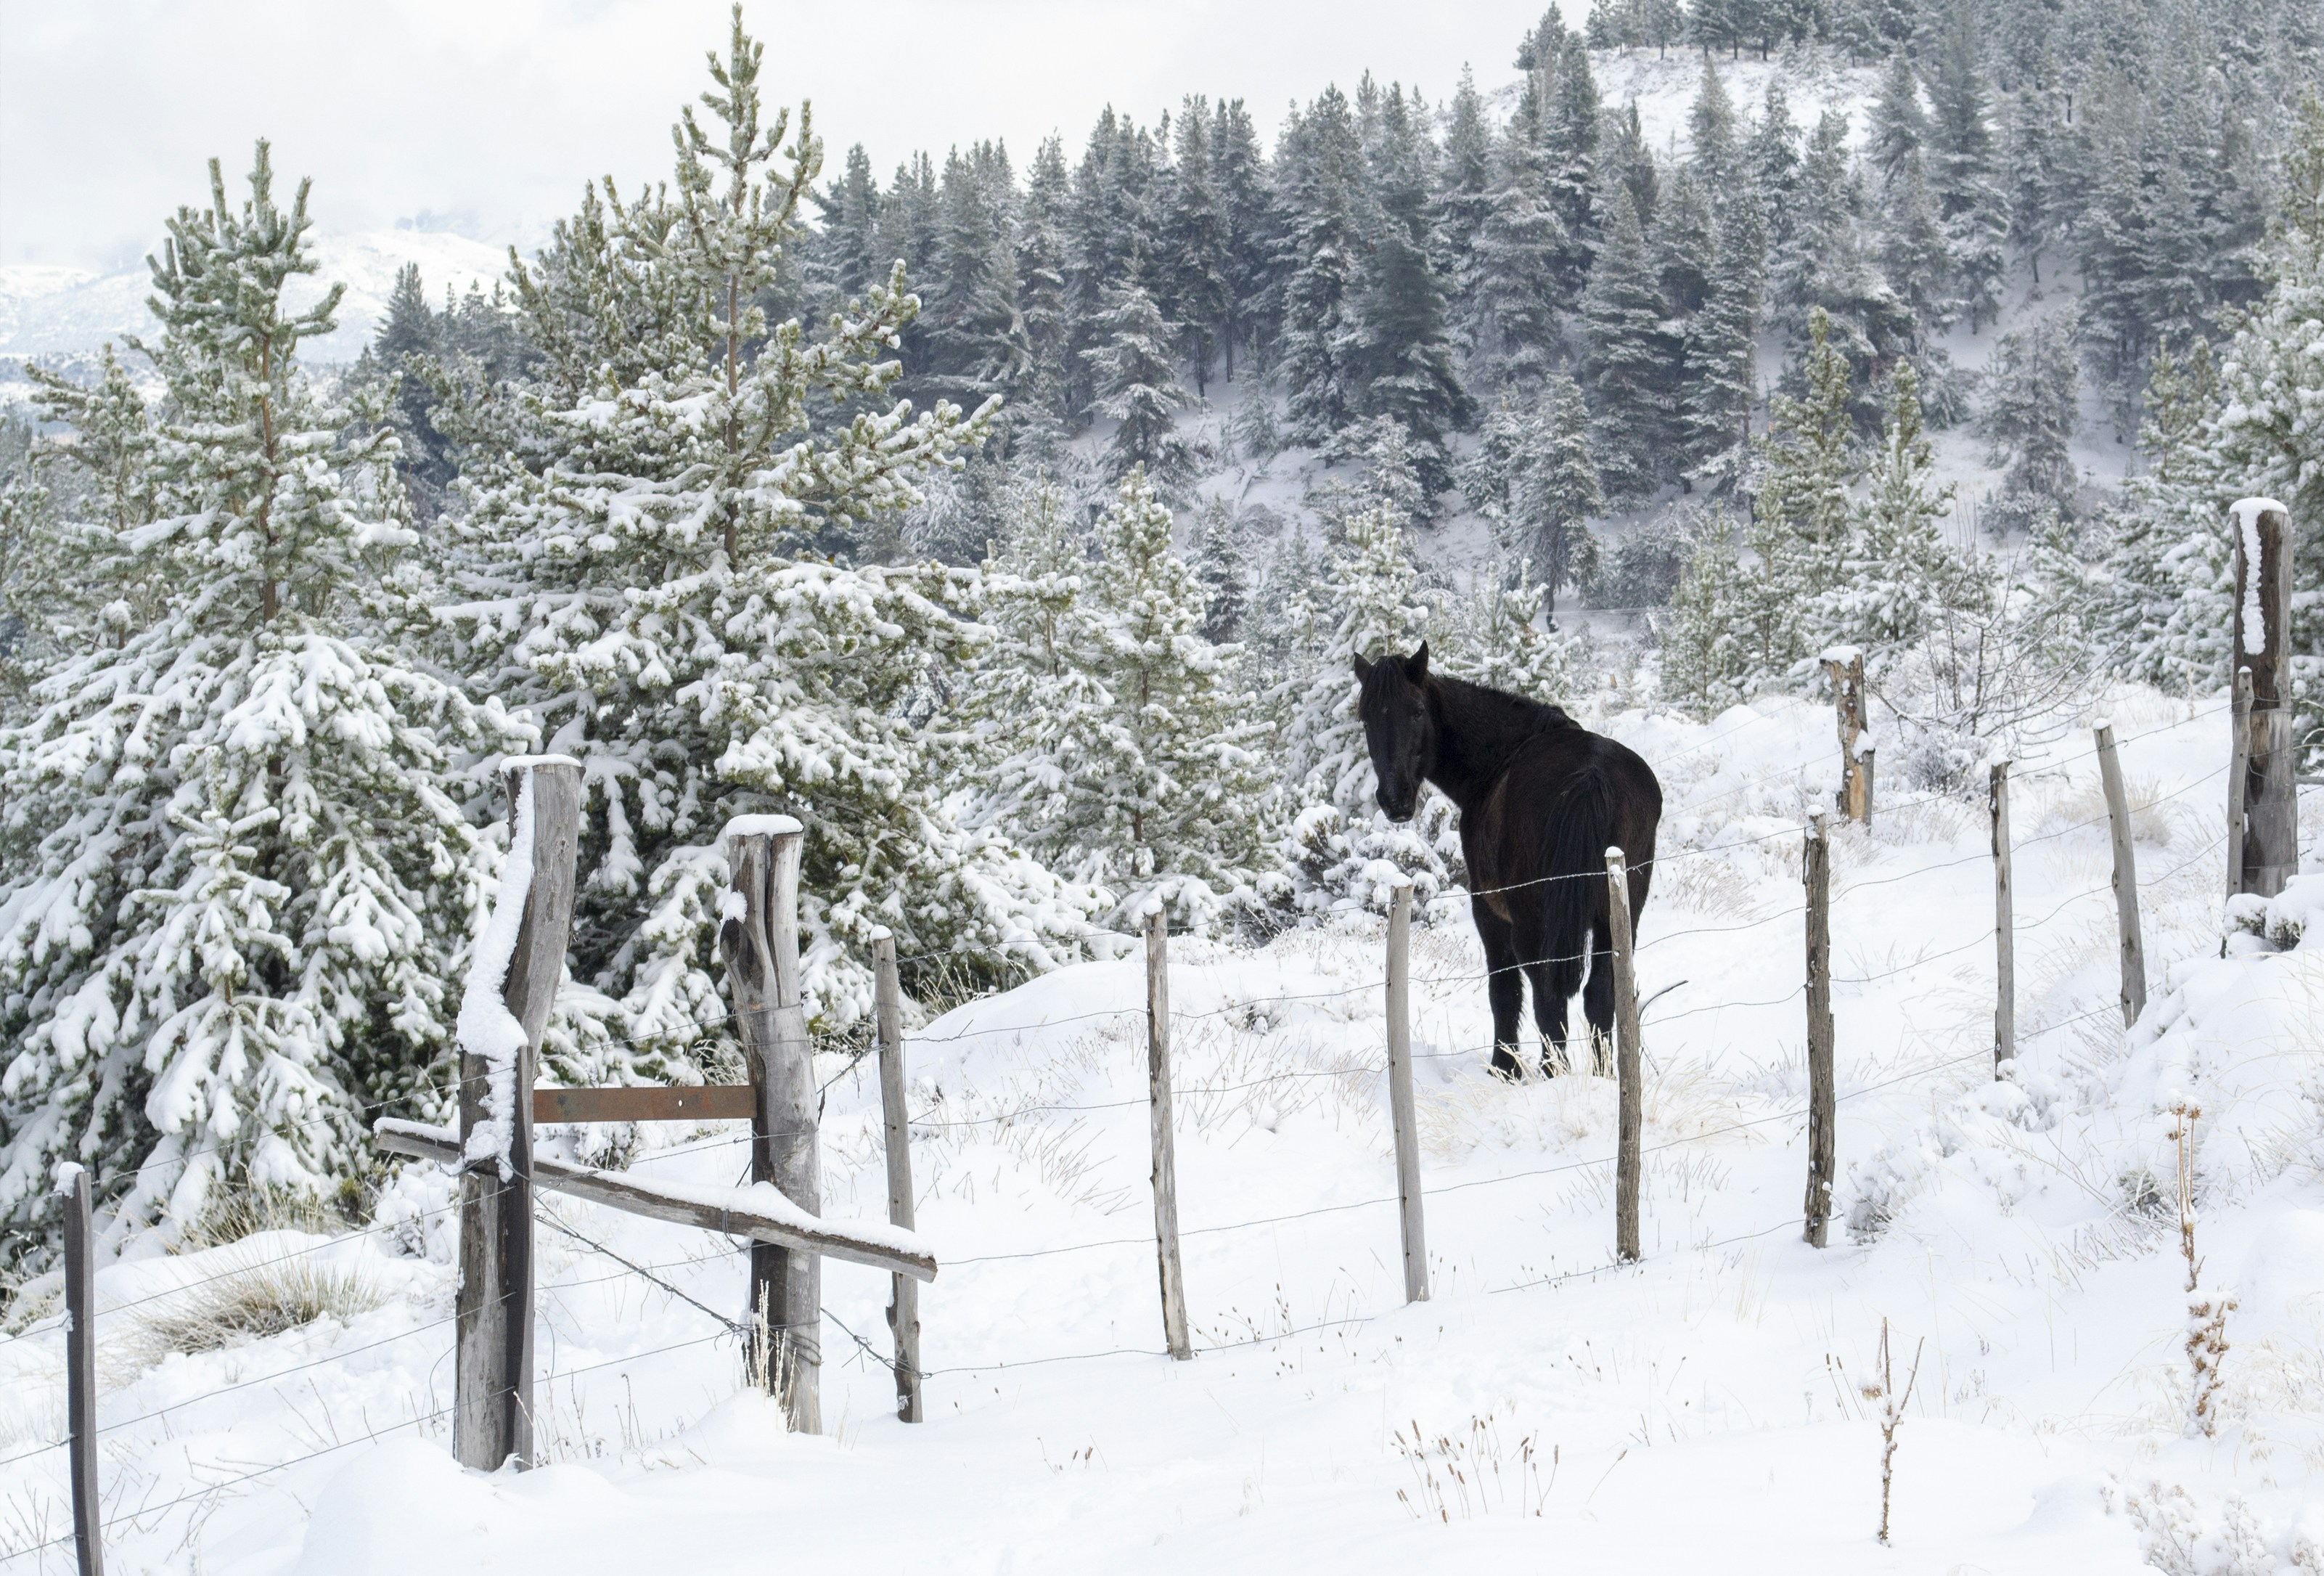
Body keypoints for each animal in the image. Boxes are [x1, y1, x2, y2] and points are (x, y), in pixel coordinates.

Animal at [1353, 643, 1663, 1079]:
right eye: (1365, 717)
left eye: (1416, 711)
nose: (1394, 798)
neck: (1498, 758)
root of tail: (1591, 776)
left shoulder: (1489, 912)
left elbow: (1504, 991)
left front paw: (1505, 1068)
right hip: (1619, 915)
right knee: (1600, 993)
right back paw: (1603, 1077)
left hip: (1535, 921)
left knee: (1548, 995)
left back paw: (1552, 1073)